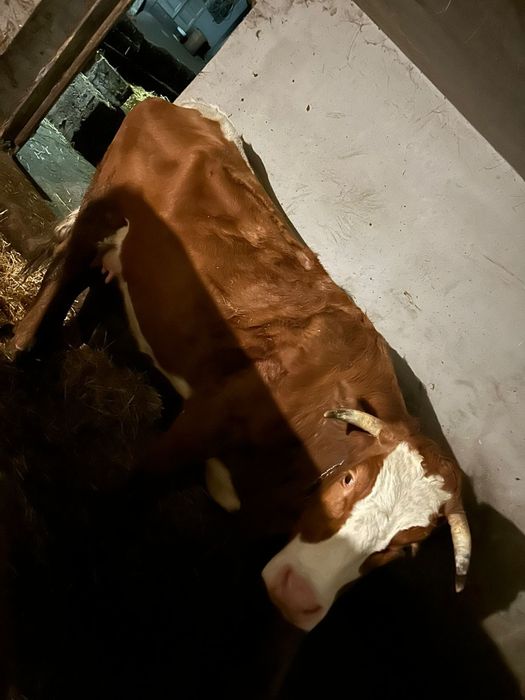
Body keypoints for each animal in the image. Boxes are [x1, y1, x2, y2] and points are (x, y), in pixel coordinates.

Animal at [10, 98, 471, 631]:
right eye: (351, 479)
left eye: (404, 549)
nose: (297, 595)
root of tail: (187, 108)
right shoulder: (205, 419)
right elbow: (130, 492)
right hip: (102, 207)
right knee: (65, 276)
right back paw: (20, 350)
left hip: (129, 251)